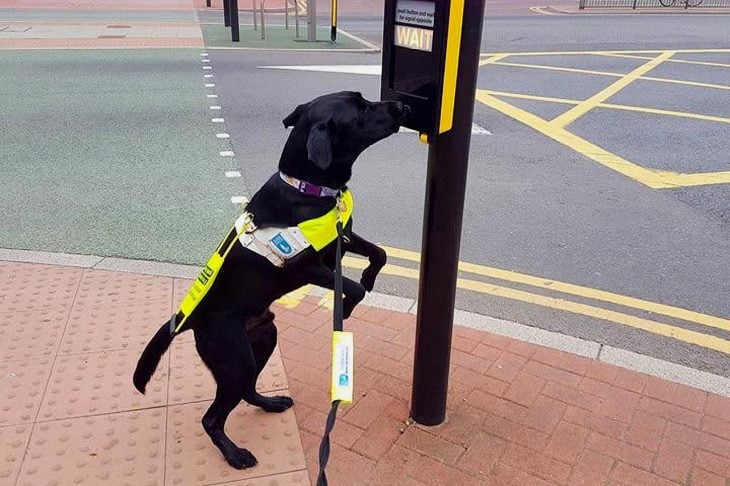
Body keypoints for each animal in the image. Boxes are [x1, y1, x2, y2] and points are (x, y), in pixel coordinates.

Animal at [134, 89, 406, 468]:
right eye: (362, 109)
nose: (401, 106)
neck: (309, 188)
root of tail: (190, 317)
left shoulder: (343, 238)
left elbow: (380, 254)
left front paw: (368, 277)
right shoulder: (308, 267)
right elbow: (351, 287)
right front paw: (348, 304)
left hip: (263, 339)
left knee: (248, 391)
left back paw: (270, 403)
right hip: (236, 360)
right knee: (211, 418)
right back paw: (234, 454)